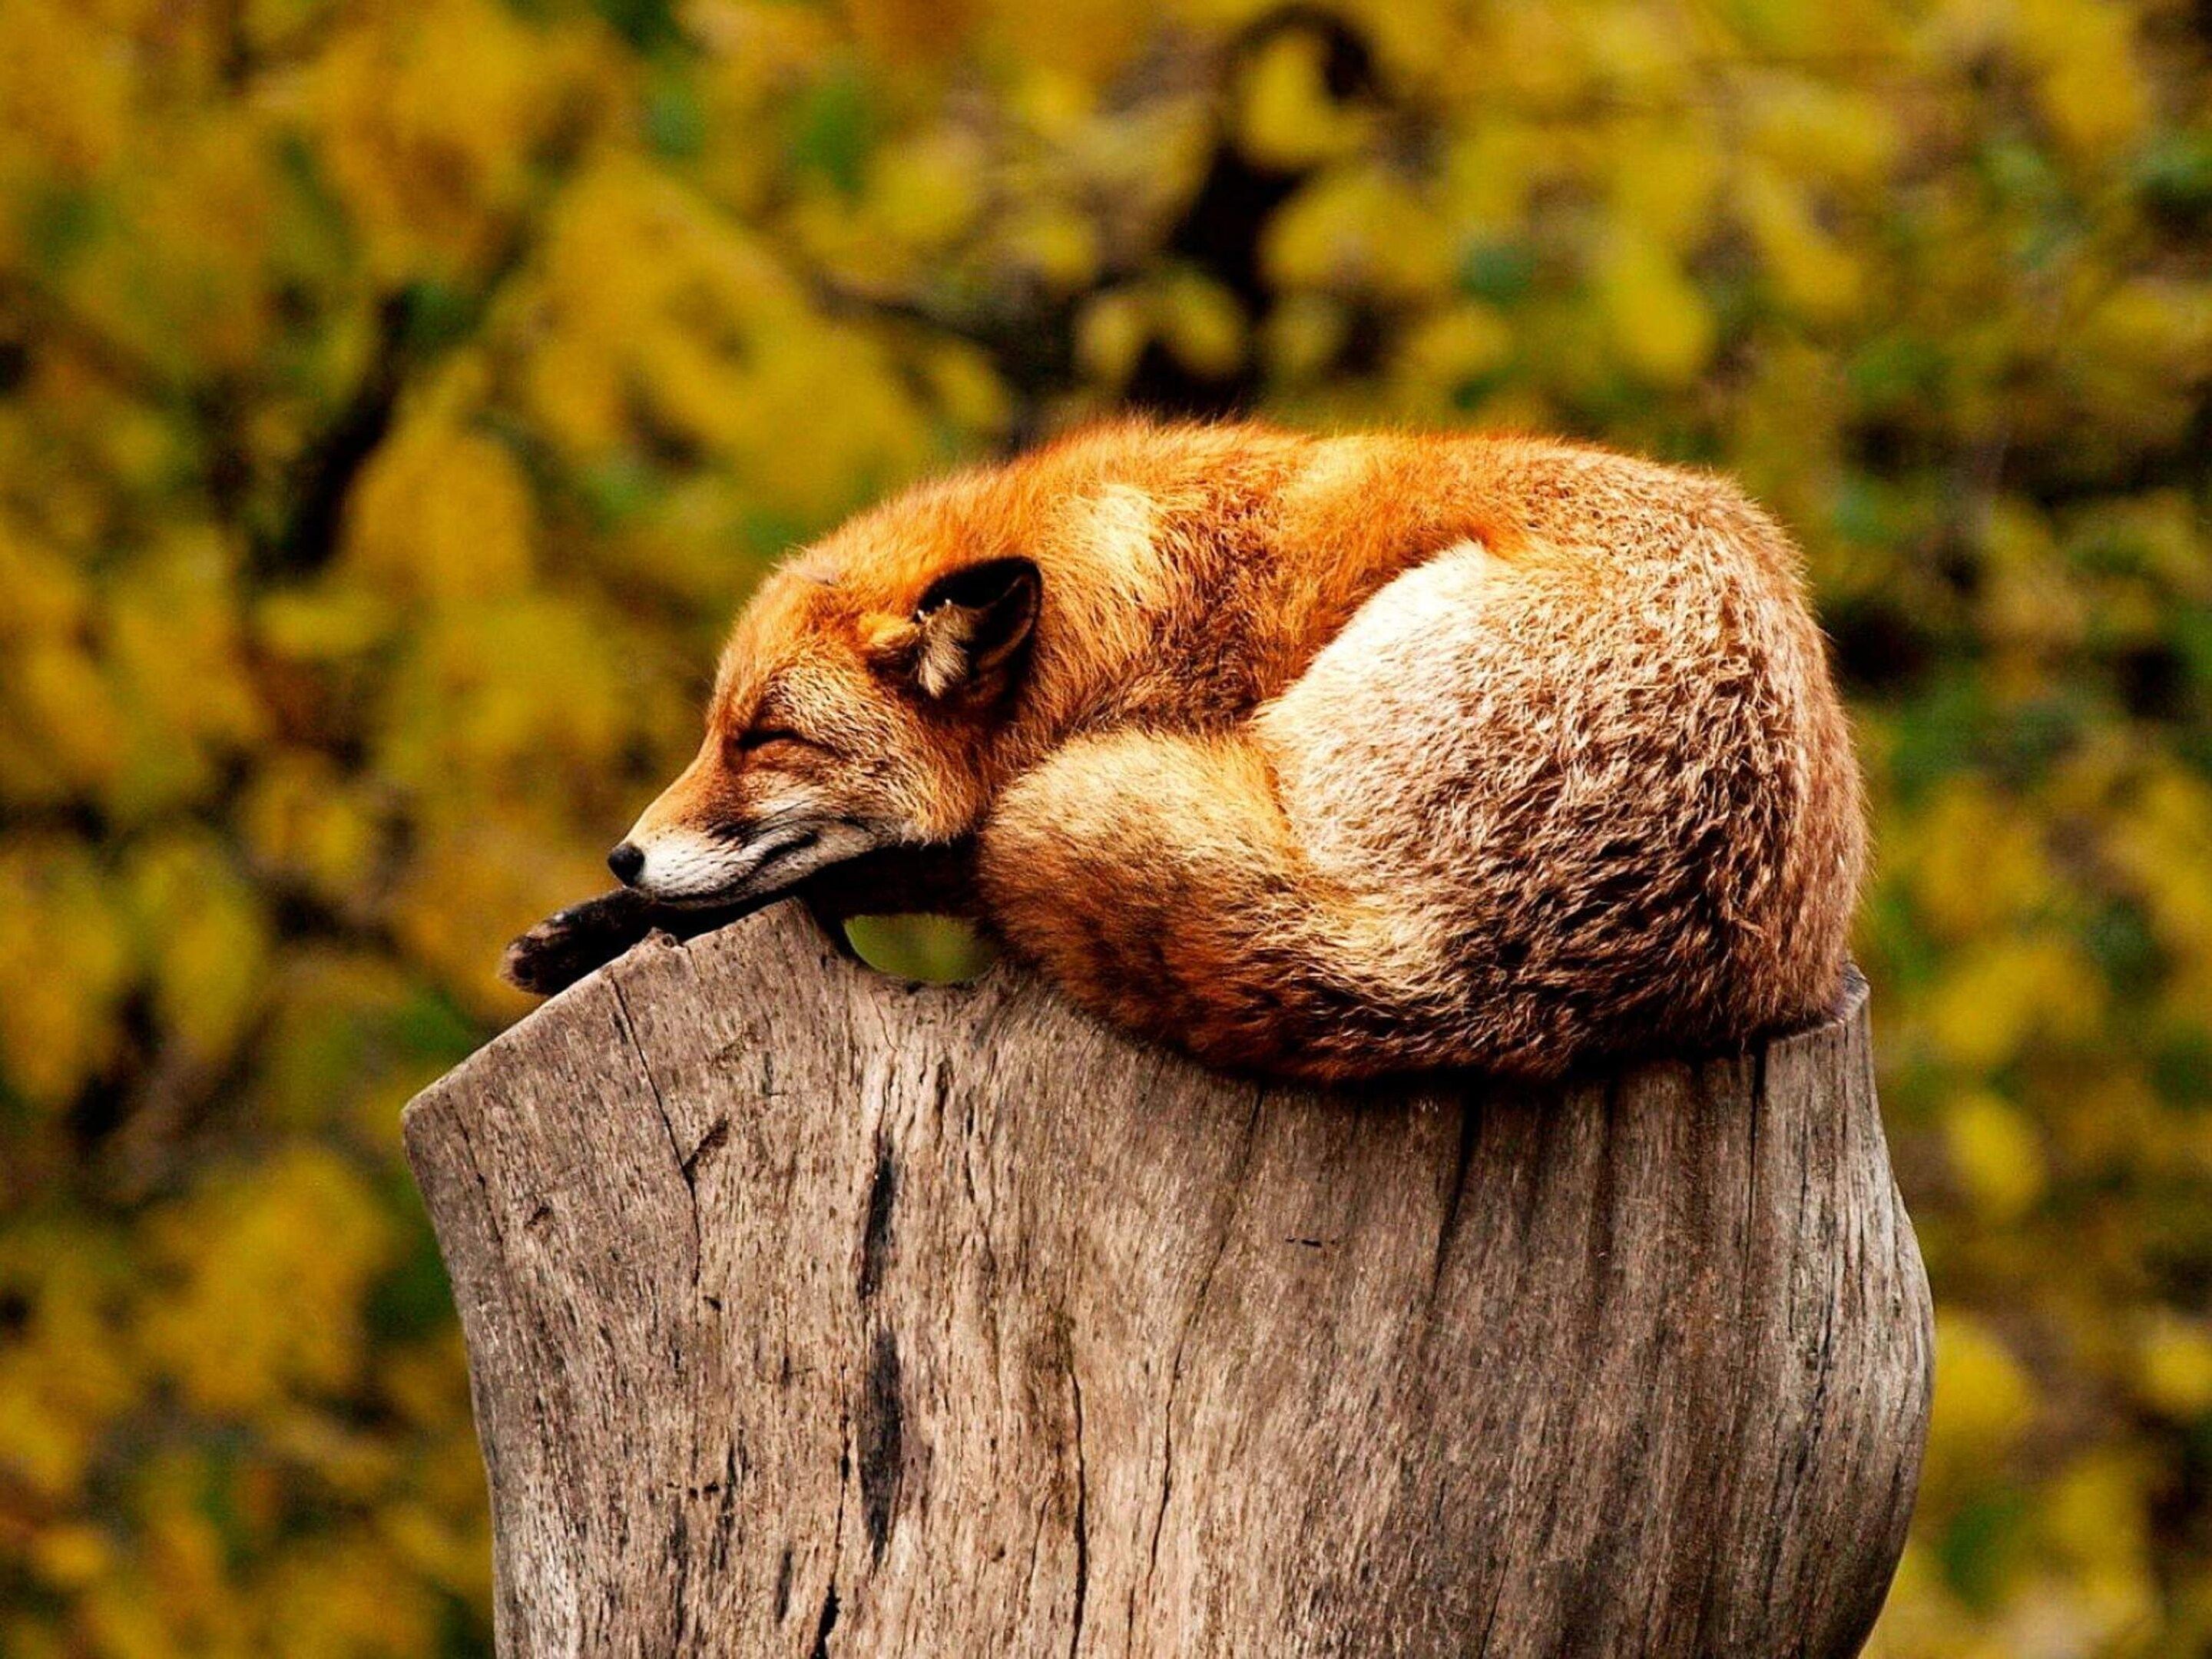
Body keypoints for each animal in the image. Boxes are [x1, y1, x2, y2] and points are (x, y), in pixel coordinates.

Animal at [503, 418, 1865, 1084]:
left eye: (766, 737)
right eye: (715, 730)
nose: (624, 856)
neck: (1125, 612)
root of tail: (1470, 966)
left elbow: (886, 867)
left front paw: (610, 925)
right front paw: (586, 929)